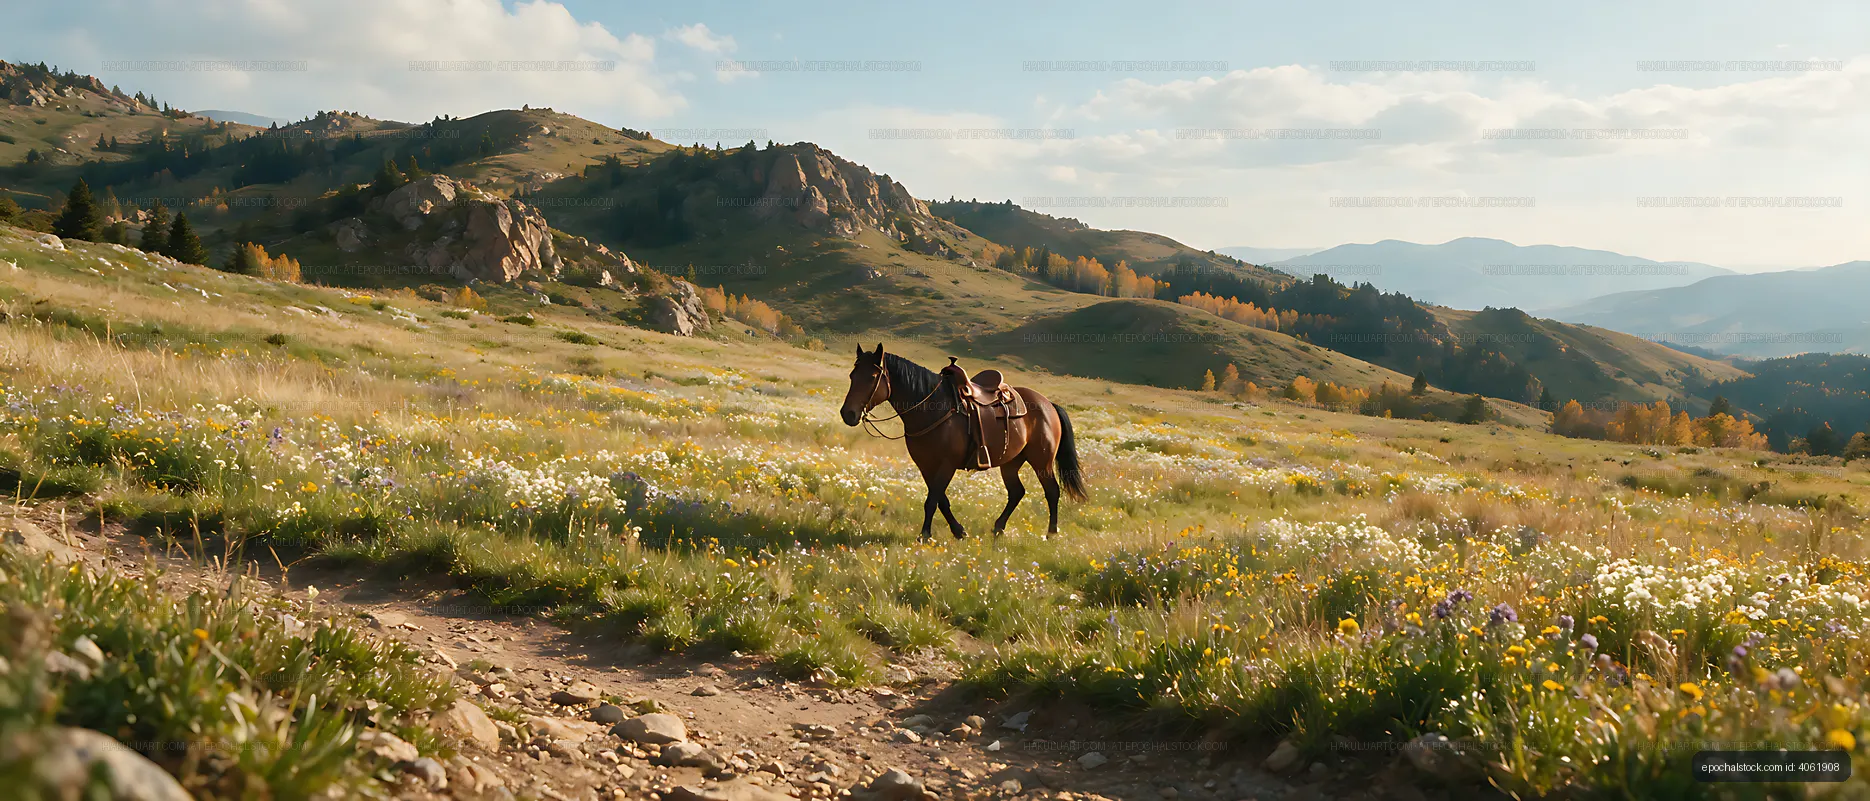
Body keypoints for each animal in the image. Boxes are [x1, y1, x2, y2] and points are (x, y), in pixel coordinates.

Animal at [839, 343, 1085, 539]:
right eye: (852, 376)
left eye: (872, 377)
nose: (848, 414)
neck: (931, 408)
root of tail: (1048, 404)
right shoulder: (926, 466)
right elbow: (940, 500)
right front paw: (958, 531)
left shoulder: (947, 464)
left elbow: (932, 500)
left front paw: (925, 535)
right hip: (1011, 462)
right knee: (1017, 492)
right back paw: (998, 528)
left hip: (1041, 460)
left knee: (1052, 491)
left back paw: (1051, 533)